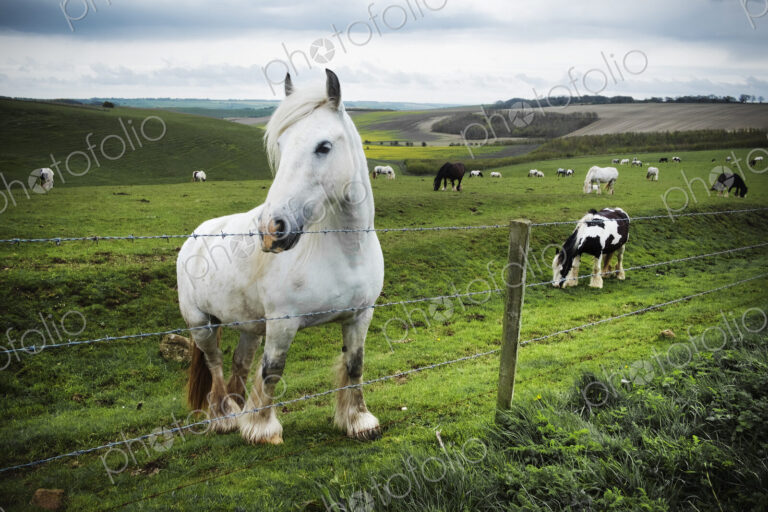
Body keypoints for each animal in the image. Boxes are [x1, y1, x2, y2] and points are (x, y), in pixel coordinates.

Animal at [177, 69, 384, 445]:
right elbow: (273, 370)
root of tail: (195, 236)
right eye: (281, 146)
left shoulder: (360, 315)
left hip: (248, 326)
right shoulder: (282, 322)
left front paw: (359, 420)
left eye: (324, 146)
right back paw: (224, 417)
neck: (344, 251)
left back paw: (236, 408)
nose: (272, 228)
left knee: (239, 362)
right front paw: (261, 428)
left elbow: (355, 364)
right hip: (201, 324)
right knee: (215, 364)